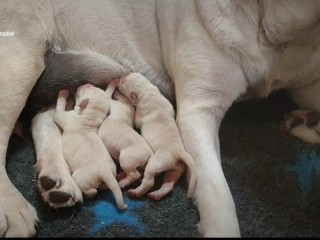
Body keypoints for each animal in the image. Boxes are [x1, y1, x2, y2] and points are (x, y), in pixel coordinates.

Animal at [116, 73, 198, 201]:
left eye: (123, 83)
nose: (119, 78)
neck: (147, 90)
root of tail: (179, 152)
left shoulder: (139, 114)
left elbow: (136, 120)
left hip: (156, 162)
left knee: (149, 181)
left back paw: (135, 191)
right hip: (176, 169)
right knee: (169, 183)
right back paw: (156, 194)